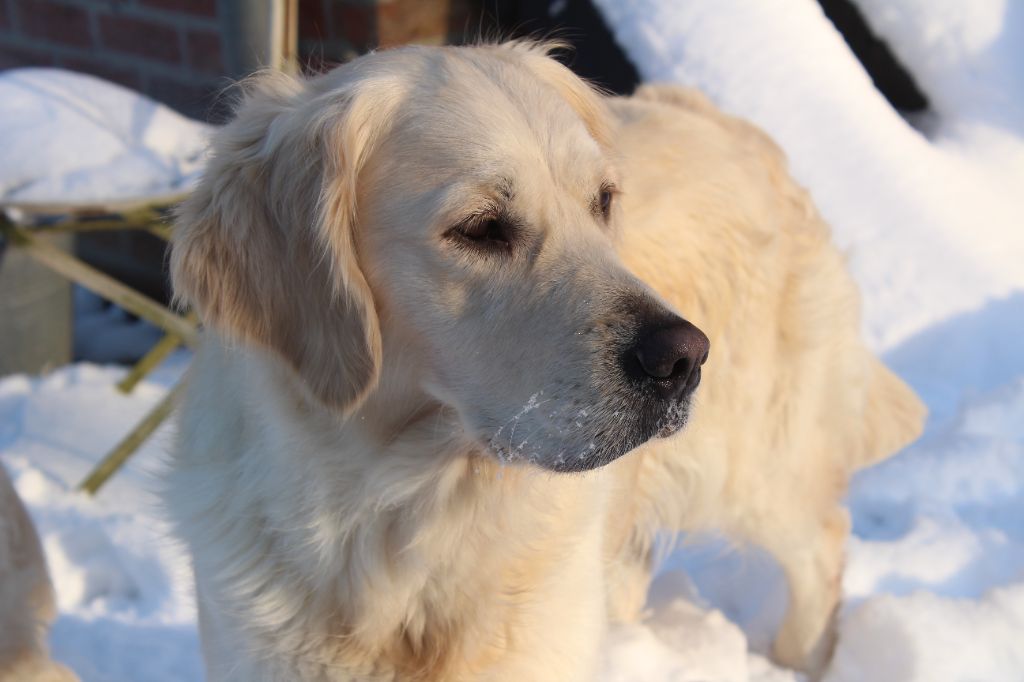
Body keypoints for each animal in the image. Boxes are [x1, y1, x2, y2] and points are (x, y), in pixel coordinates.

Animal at [163, 41, 925, 679]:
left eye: (603, 202)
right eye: (480, 228)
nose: (683, 357)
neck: (401, 519)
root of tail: (727, 121)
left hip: (753, 459)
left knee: (820, 542)